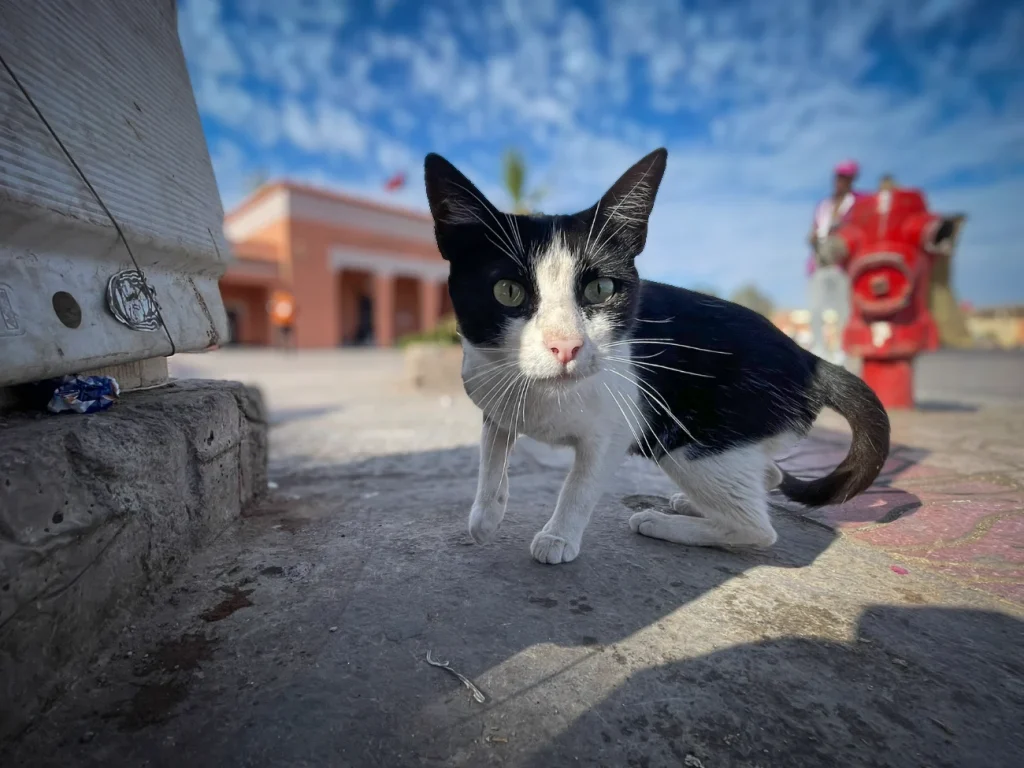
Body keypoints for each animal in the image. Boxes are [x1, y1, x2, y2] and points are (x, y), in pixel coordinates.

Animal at [423, 147, 888, 565]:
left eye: (600, 290)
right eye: (507, 291)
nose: (566, 346)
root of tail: (810, 359)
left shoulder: (615, 427)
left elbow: (581, 482)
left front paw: (558, 536)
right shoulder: (489, 386)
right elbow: (493, 446)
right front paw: (485, 514)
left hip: (694, 442)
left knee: (757, 528)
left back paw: (664, 523)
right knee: (766, 475)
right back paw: (692, 504)